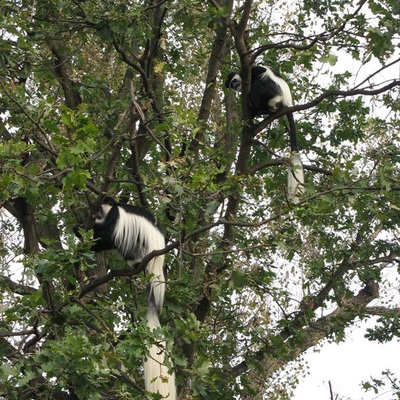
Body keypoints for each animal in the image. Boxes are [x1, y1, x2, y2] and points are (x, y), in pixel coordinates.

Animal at [225, 66, 304, 203]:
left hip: (273, 91)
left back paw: (257, 103)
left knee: (259, 82)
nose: (235, 85)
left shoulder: (252, 71)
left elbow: (260, 71)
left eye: (234, 81)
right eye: (231, 85)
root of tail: (287, 102)